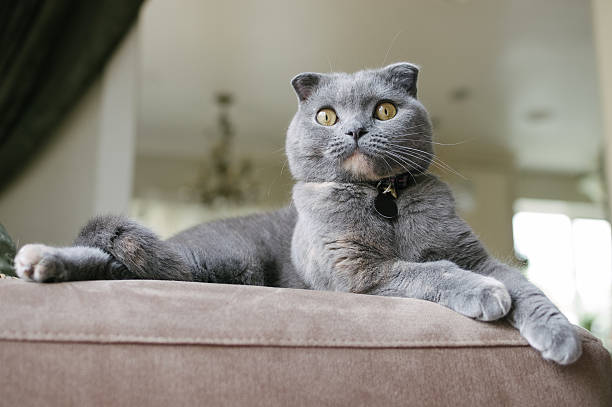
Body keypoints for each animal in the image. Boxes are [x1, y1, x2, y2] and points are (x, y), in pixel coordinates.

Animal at [11, 63, 580, 366]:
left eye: (385, 110)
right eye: (326, 115)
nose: (354, 130)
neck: (383, 200)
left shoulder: (478, 255)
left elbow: (526, 287)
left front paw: (563, 339)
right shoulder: (354, 271)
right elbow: (430, 270)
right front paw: (485, 295)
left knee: (122, 265)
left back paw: (43, 265)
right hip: (222, 260)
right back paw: (38, 258)